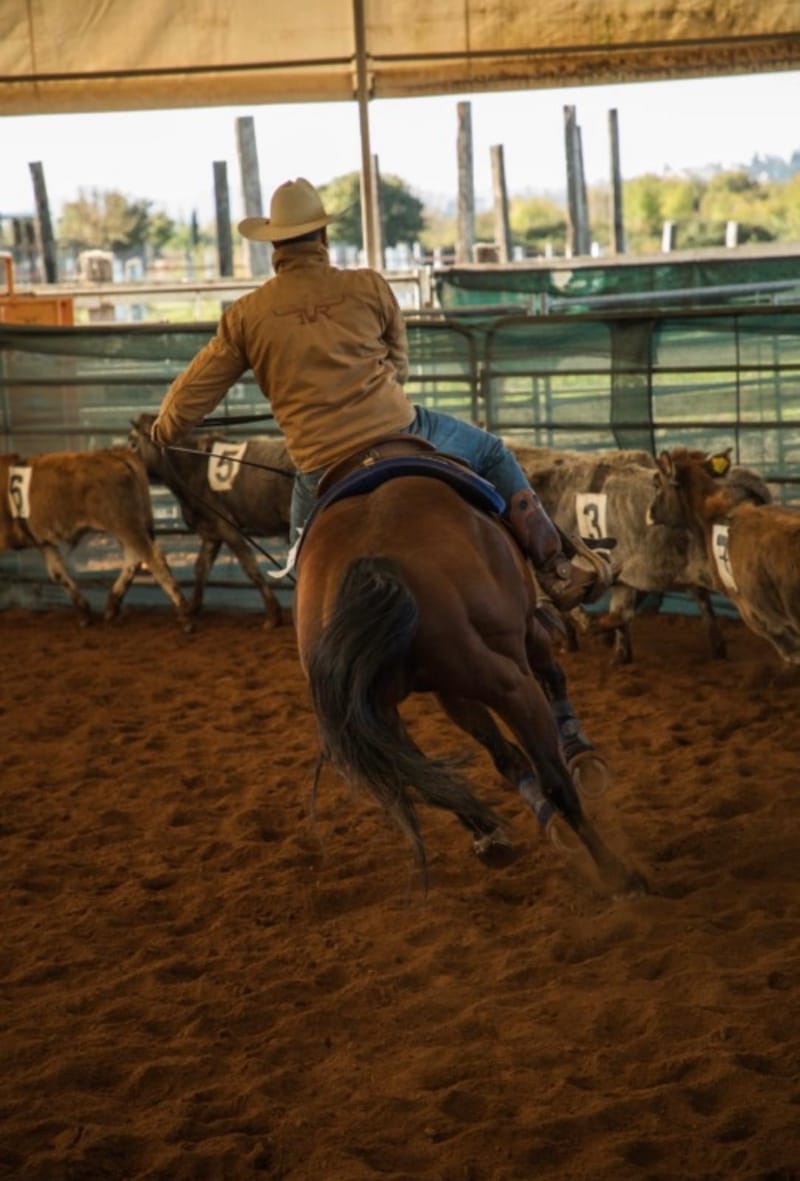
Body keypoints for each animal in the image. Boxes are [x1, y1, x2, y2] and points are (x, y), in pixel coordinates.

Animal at [0, 446, 191, 633]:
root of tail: (115, 453)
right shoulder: (44, 543)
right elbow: (57, 573)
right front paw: (84, 614)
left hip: (125, 524)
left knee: (153, 559)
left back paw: (185, 616)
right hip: (128, 527)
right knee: (135, 559)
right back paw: (111, 608)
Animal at [128, 415, 293, 628]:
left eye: (132, 441)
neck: (193, 465)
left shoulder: (226, 526)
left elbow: (250, 567)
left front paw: (273, 614)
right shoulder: (211, 531)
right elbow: (201, 567)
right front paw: (192, 608)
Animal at [293, 453, 642, 892]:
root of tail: (370, 561)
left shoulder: (449, 690)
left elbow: (498, 754)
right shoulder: (524, 632)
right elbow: (553, 676)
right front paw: (583, 755)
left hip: (376, 714)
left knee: (433, 777)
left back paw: (496, 837)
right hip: (507, 681)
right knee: (552, 775)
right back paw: (617, 873)